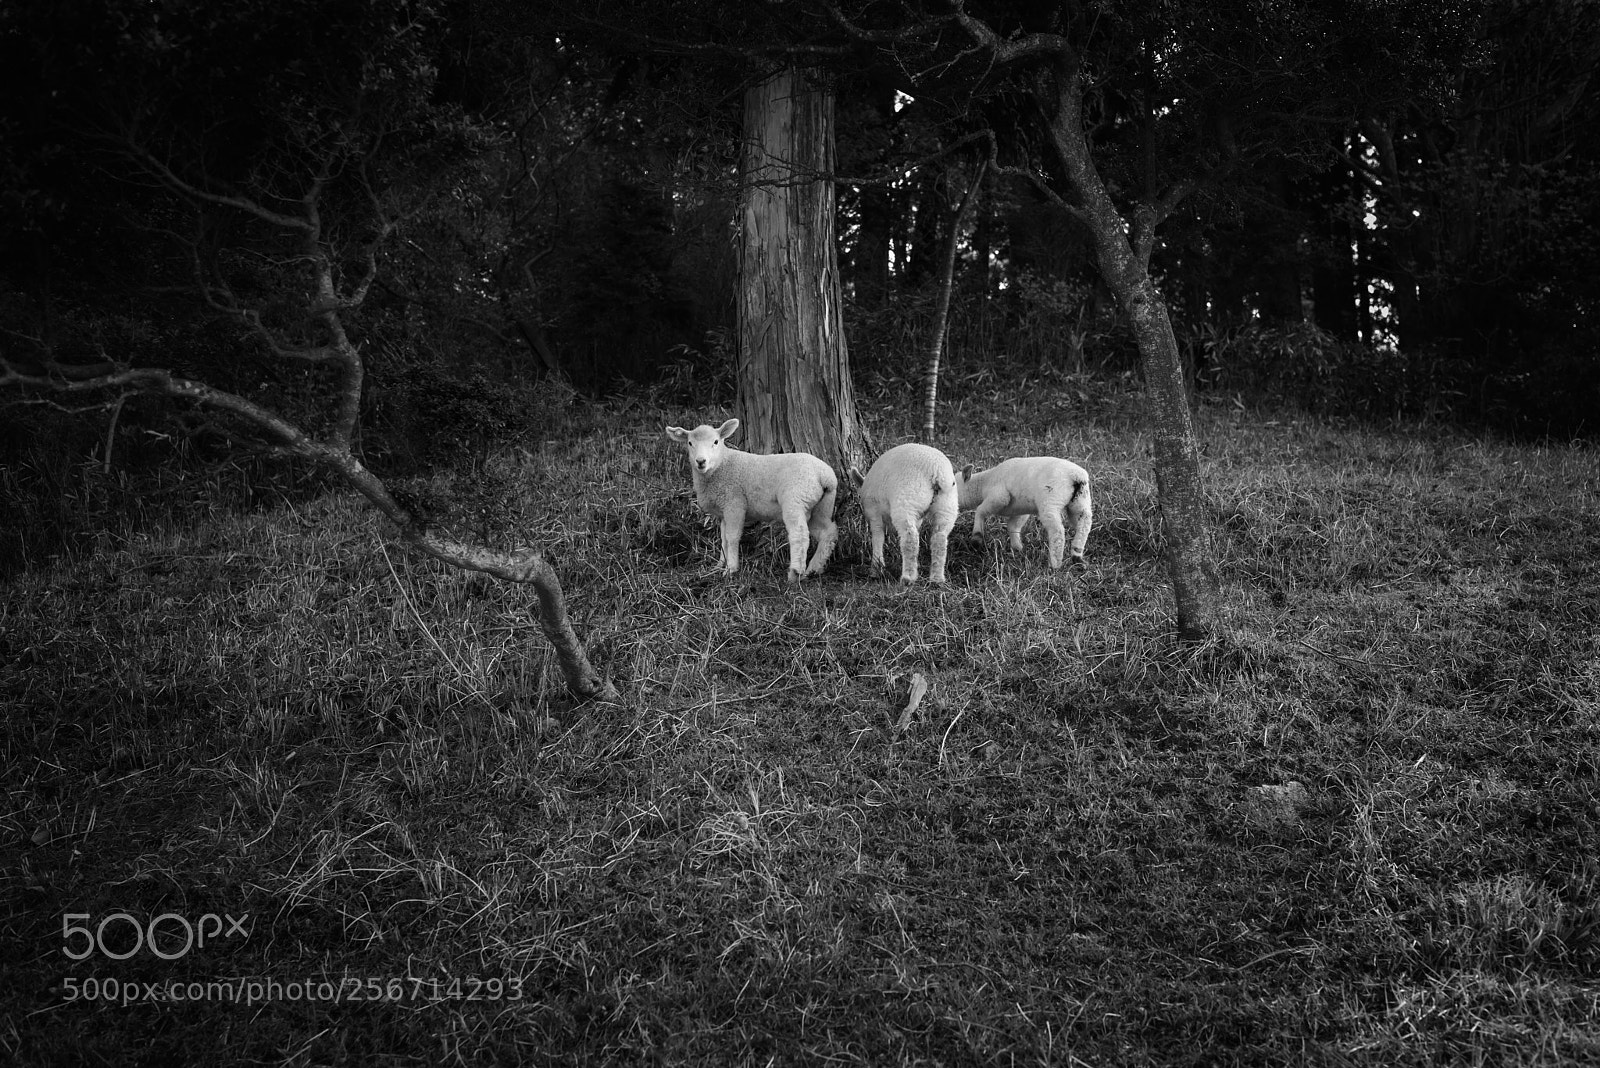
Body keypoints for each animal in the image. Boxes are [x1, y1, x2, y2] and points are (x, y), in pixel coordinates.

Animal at [664, 417, 838, 582]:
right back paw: (814, 569)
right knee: (828, 531)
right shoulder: (723, 511)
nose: (701, 461)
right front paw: (720, 564)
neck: (721, 465)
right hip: (820, 505)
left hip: (795, 498)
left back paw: (795, 573)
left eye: (716, 441)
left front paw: (731, 569)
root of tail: (826, 476)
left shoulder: (734, 504)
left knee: (799, 535)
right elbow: (723, 538)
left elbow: (732, 537)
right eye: (690, 443)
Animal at [851, 442, 959, 585]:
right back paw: (937, 578)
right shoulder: (918, 516)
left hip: (907, 499)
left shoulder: (873, 510)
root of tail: (937, 470)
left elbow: (878, 536)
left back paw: (908, 577)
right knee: (939, 538)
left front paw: (876, 569)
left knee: (910, 537)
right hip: (947, 504)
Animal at [957, 456, 1094, 569]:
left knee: (1057, 531)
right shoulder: (1020, 509)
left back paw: (1055, 564)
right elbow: (1013, 526)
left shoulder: (999, 497)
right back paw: (1078, 558)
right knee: (1084, 524)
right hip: (1081, 501)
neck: (984, 484)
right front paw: (1017, 548)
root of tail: (1076, 476)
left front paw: (976, 539)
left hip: (1051, 500)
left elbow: (980, 510)